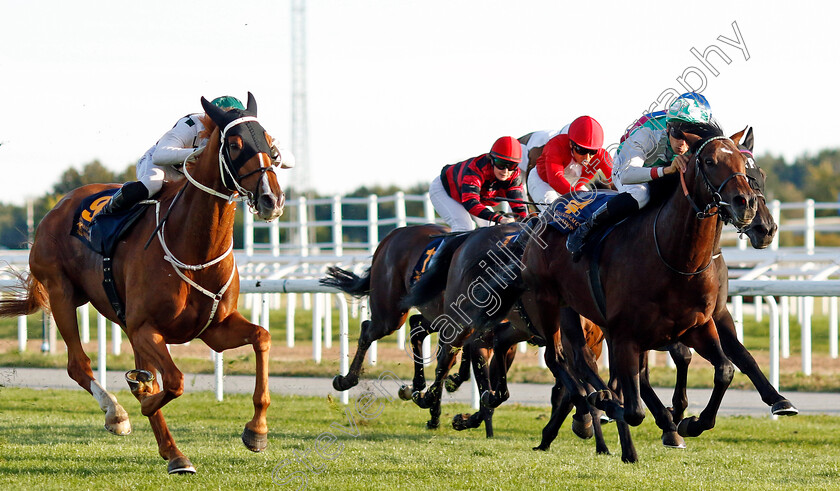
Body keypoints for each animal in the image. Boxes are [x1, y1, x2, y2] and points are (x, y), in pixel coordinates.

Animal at [0, 93, 284, 476]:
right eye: (235, 144)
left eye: (270, 143)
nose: (272, 199)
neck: (192, 246)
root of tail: (58, 206)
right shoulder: (146, 327)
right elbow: (173, 382)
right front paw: (142, 402)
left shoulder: (214, 328)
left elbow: (262, 338)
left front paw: (257, 431)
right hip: (61, 294)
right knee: (78, 364)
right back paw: (118, 415)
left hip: (122, 320)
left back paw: (172, 451)